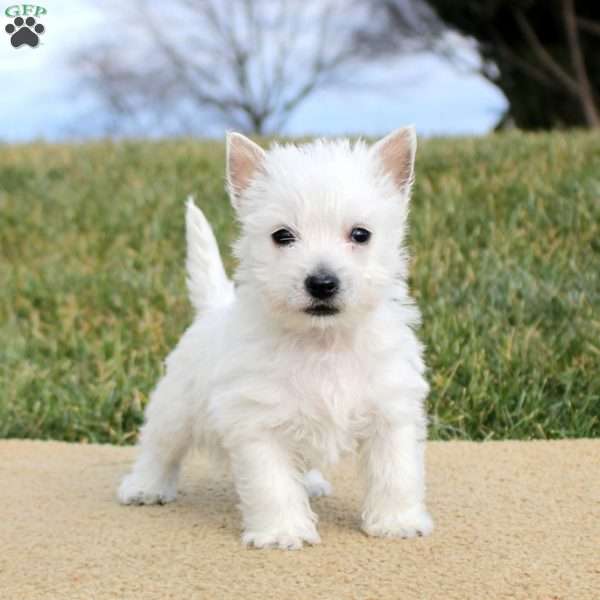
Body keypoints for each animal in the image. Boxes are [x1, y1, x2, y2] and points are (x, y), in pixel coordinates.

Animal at [117, 126, 434, 548]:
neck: (323, 342)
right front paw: (283, 532)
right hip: (175, 408)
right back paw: (145, 487)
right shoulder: (259, 423)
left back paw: (312, 483)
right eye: (282, 235)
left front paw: (397, 522)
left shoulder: (391, 411)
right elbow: (273, 484)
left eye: (360, 234)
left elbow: (396, 472)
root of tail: (213, 307)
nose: (322, 283)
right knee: (159, 447)